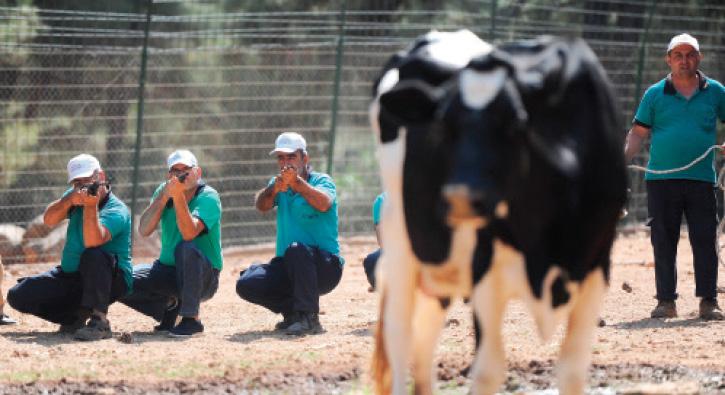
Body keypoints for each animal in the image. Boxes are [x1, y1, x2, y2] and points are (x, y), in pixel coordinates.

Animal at [370, 34, 624, 395]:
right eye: (443, 125)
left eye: (516, 123)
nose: (462, 197)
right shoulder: (485, 268)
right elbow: (488, 369)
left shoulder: (597, 266)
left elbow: (573, 370)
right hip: (400, 238)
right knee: (400, 335)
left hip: (440, 266)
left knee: (425, 337)